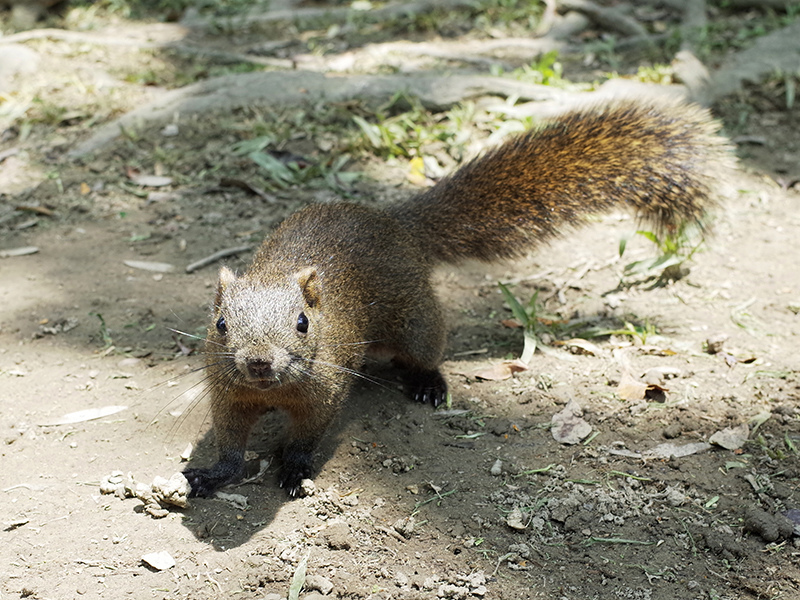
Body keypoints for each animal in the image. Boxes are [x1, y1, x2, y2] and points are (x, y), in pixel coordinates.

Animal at [184, 97, 736, 496]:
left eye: (302, 323)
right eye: (220, 324)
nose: (258, 362)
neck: (269, 392)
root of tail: (399, 225)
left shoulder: (326, 388)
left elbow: (306, 437)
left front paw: (296, 472)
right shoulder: (227, 395)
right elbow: (230, 445)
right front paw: (210, 476)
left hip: (417, 320)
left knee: (425, 350)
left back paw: (429, 383)